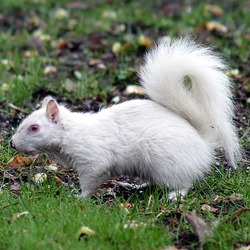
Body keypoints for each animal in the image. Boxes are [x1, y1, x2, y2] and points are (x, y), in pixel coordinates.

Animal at [10, 37, 242, 200]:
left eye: (34, 127)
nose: (12, 144)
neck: (72, 133)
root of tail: (202, 141)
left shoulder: (93, 161)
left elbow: (90, 181)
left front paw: (79, 197)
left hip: (168, 162)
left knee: (184, 183)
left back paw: (174, 195)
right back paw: (136, 185)